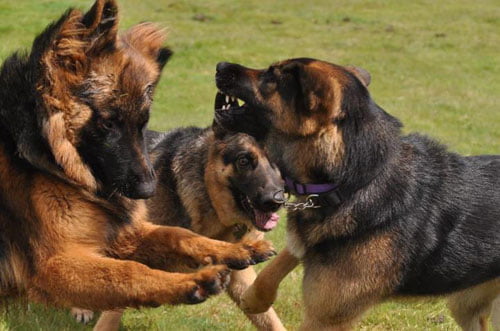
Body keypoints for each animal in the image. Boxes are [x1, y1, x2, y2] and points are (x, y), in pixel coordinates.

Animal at [0, 0, 274, 314]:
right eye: (108, 123)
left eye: (143, 123)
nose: (148, 191)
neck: (46, 157)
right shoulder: (53, 264)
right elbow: (127, 271)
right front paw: (192, 282)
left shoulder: (121, 232)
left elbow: (178, 234)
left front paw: (237, 249)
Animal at [215, 58, 500, 330]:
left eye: (271, 77)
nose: (220, 66)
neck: (357, 179)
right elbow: (283, 257)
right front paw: (254, 299)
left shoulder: (325, 319)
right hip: (465, 306)